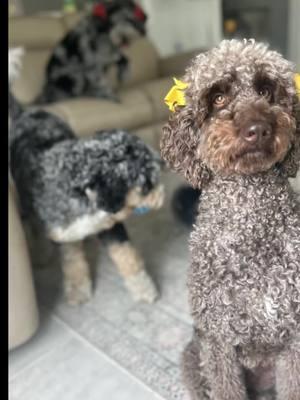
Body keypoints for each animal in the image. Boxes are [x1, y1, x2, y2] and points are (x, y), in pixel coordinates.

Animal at [9, 50, 164, 306]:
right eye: (146, 184)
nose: (161, 197)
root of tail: (25, 112)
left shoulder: (112, 226)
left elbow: (128, 257)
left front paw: (143, 288)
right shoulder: (66, 235)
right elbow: (73, 264)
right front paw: (78, 291)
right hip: (25, 199)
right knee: (32, 223)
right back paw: (41, 253)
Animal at [162, 38, 300, 400]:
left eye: (265, 90)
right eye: (218, 97)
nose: (259, 129)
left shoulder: (294, 336)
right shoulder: (218, 342)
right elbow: (226, 388)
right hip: (192, 355)